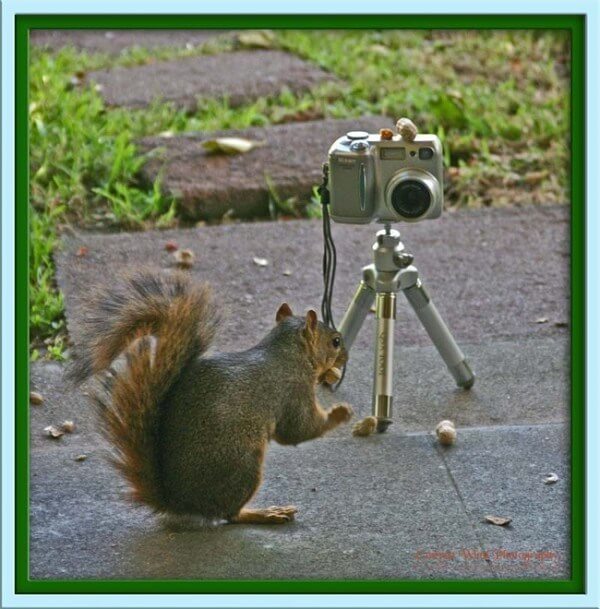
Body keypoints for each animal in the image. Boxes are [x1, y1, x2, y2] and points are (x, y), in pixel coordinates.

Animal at [68, 268, 354, 524]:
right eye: (335, 342)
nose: (346, 356)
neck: (287, 351)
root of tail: (179, 501)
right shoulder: (292, 389)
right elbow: (299, 430)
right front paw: (340, 413)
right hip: (243, 464)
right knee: (229, 514)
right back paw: (265, 514)